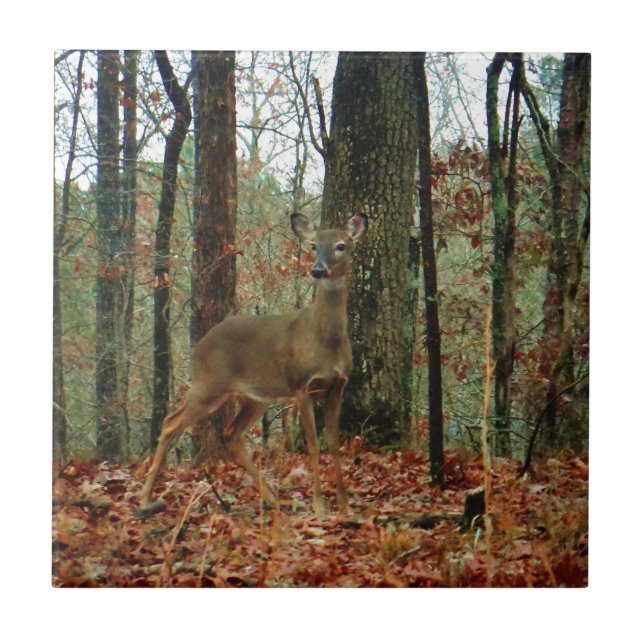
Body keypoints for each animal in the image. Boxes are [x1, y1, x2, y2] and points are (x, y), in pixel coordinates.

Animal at [139, 213, 367, 516]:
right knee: (170, 423)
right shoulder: (301, 386)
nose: (318, 270)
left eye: (341, 245)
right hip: (209, 384)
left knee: (231, 433)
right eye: (313, 245)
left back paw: (272, 497)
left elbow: (333, 443)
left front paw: (344, 505)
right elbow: (313, 445)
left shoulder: (337, 387)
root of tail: (197, 346)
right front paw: (319, 506)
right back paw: (144, 499)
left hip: (255, 397)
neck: (325, 341)